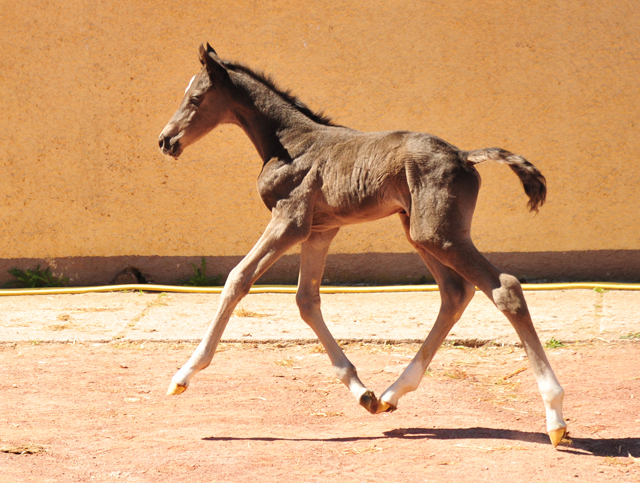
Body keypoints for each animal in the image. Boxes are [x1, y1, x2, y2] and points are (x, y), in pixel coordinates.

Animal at [159, 43, 564, 448]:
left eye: (195, 98)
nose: (165, 140)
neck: (290, 144)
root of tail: (465, 155)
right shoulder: (319, 231)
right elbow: (306, 300)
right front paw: (361, 391)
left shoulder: (290, 220)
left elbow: (238, 279)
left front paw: (183, 375)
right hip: (418, 231)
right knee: (455, 291)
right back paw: (391, 393)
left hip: (437, 234)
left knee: (504, 288)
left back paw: (555, 416)